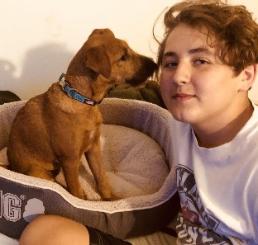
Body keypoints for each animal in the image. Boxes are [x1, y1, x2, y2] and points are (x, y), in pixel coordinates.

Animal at [7, 29, 157, 201]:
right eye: (123, 57)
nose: (155, 64)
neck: (82, 100)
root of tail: (11, 166)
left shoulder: (94, 147)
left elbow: (101, 176)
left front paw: (110, 198)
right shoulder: (70, 160)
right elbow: (75, 191)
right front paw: (82, 200)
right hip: (40, 173)